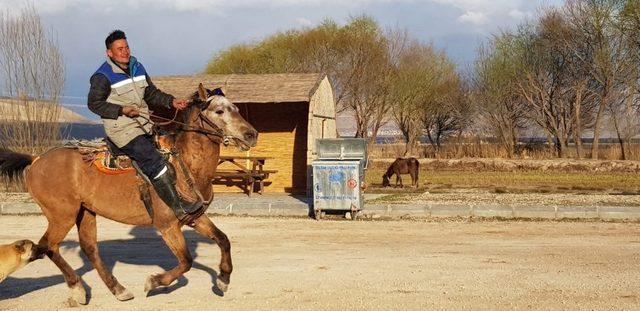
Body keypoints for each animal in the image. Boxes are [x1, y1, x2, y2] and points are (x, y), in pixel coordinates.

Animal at [0, 84, 258, 306]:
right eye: (219, 110)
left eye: (236, 108)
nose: (251, 135)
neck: (183, 164)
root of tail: (36, 160)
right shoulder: (167, 226)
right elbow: (186, 261)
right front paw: (154, 282)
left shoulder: (193, 217)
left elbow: (223, 239)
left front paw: (223, 279)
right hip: (62, 216)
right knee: (48, 246)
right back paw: (78, 288)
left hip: (85, 212)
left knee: (89, 248)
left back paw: (118, 289)